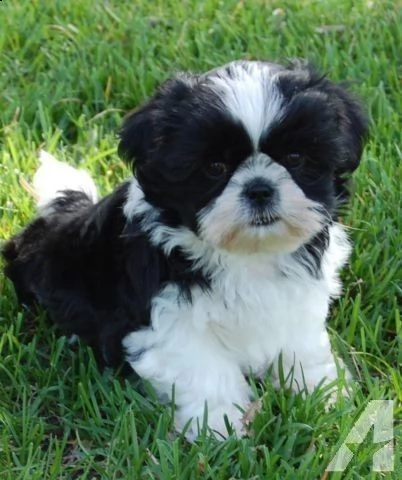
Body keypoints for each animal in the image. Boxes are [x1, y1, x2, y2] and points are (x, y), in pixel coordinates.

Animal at [3, 61, 368, 442]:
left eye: (295, 158)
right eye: (215, 168)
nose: (259, 189)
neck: (247, 254)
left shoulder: (295, 298)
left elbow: (302, 344)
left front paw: (325, 394)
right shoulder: (167, 319)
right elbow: (204, 369)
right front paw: (220, 426)